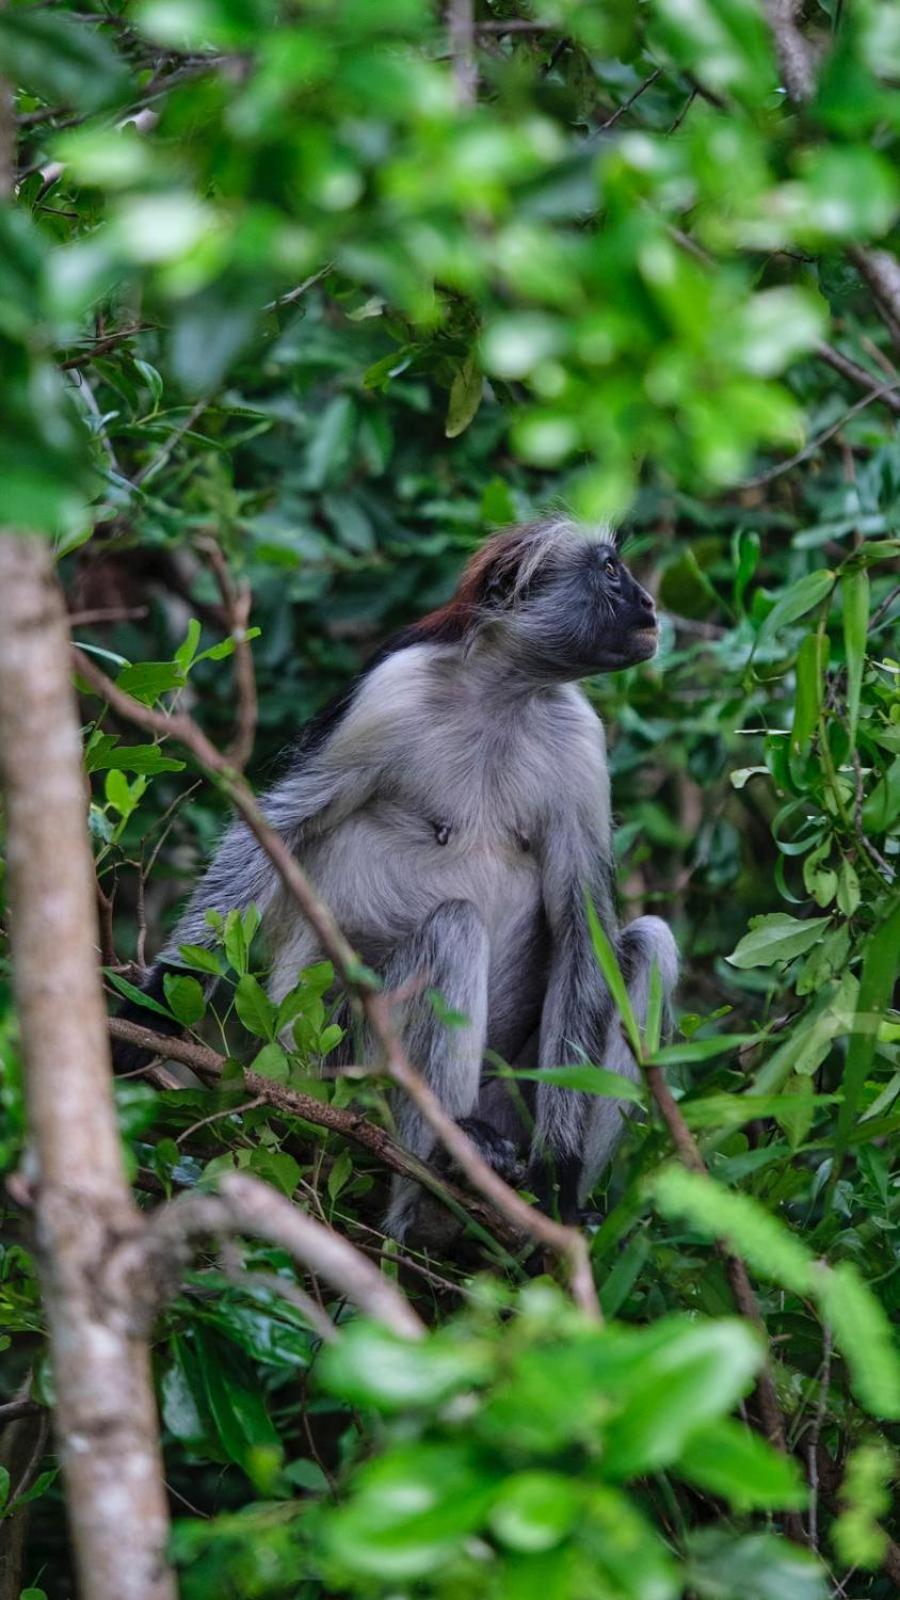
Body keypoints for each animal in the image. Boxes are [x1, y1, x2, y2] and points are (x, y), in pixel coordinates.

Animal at [117, 518, 672, 1241]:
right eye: (610, 570)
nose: (649, 605)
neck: (502, 695)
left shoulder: (579, 740)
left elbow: (585, 932)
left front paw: (560, 1175)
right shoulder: (389, 692)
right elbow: (277, 828)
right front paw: (156, 1000)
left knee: (647, 943)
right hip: (335, 1055)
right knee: (455, 927)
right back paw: (439, 1165)